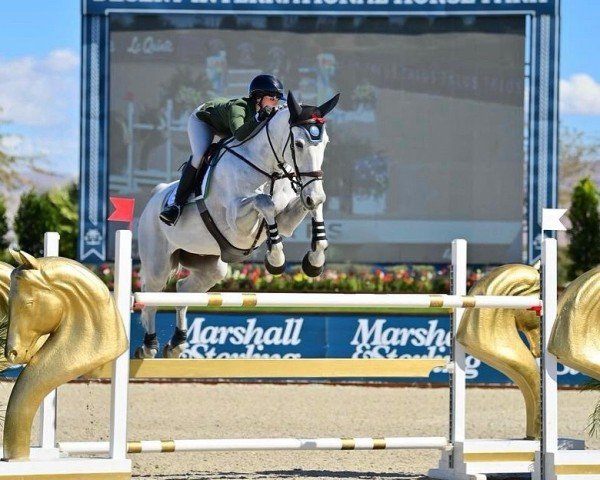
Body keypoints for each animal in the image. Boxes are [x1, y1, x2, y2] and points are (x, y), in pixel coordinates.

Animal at [138, 92, 340, 358]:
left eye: (325, 142)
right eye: (298, 144)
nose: (313, 194)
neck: (268, 168)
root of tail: (156, 195)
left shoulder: (287, 218)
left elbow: (309, 209)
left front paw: (315, 260)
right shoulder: (236, 223)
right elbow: (264, 202)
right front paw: (276, 259)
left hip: (210, 265)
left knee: (182, 289)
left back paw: (176, 344)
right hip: (158, 263)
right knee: (151, 297)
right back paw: (148, 346)